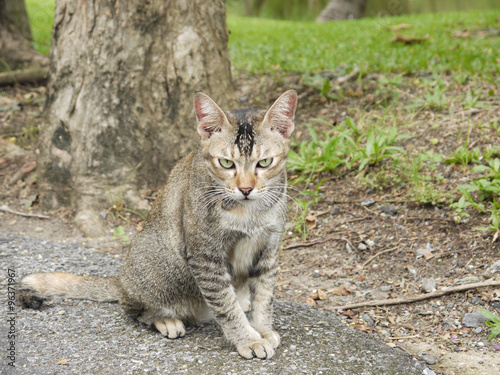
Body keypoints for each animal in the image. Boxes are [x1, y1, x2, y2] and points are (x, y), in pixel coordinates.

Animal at [19, 89, 296, 362]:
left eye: (265, 162)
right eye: (226, 163)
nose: (246, 189)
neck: (250, 213)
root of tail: (122, 279)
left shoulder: (269, 250)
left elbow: (264, 298)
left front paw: (261, 329)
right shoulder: (205, 257)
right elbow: (226, 306)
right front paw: (248, 339)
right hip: (159, 267)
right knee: (134, 308)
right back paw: (165, 319)